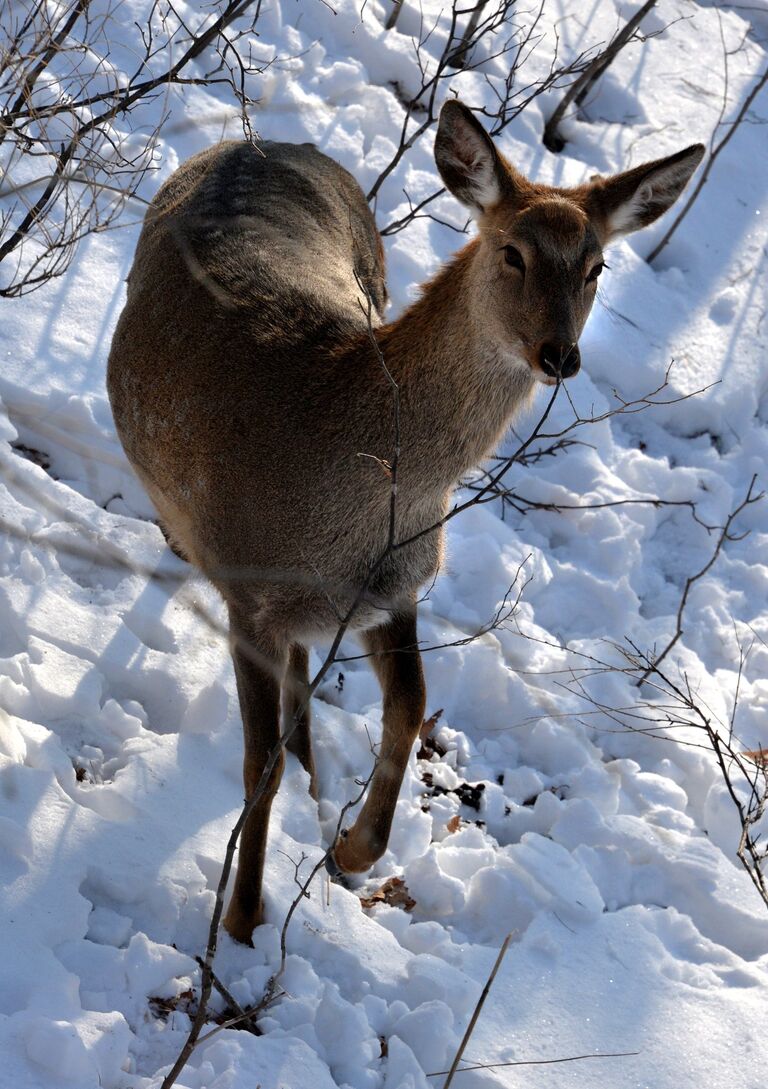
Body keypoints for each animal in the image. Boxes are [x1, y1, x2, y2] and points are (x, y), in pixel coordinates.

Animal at [106, 102, 701, 945]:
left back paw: (317, 772)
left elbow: (412, 704)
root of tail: (264, 141)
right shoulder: (249, 592)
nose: (560, 354)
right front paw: (244, 918)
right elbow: (258, 765)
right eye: (513, 252)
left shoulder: (398, 584)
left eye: (597, 268)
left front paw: (354, 847)